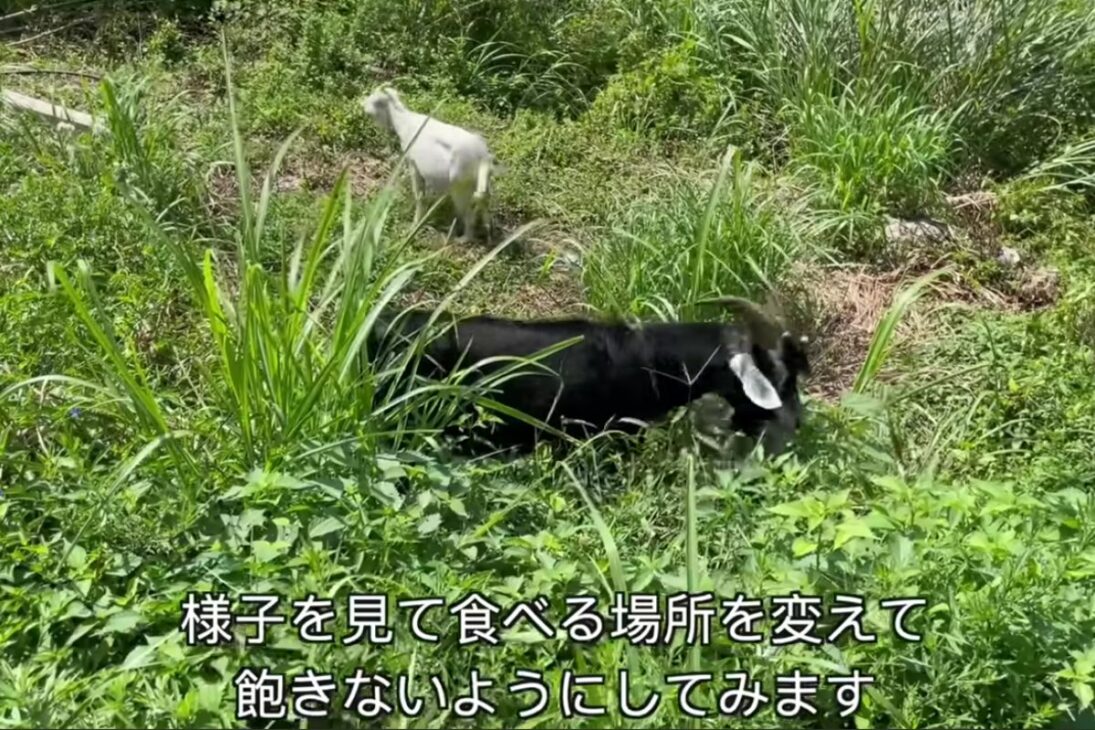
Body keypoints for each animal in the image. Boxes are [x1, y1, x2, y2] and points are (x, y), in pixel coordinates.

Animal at [361, 85, 501, 243]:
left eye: (374, 99)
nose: (362, 105)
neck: (404, 121)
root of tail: (483, 156)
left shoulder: (413, 163)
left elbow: (419, 195)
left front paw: (415, 224)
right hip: (478, 183)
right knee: (484, 201)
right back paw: (487, 232)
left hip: (460, 186)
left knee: (468, 210)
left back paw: (464, 238)